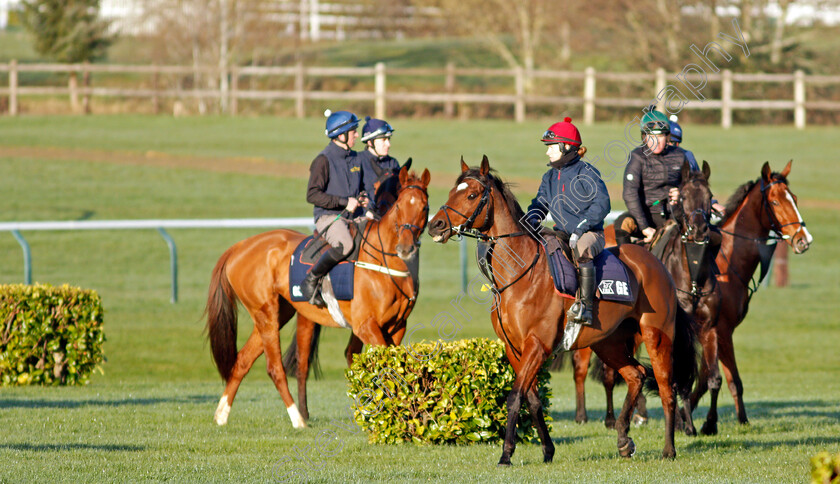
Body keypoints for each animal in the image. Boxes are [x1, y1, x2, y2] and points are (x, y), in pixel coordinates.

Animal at [202, 165, 426, 428]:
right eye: (399, 206)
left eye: (424, 207)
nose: (406, 247)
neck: (384, 261)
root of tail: (239, 246)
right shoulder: (365, 326)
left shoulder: (397, 326)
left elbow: (390, 366)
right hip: (266, 314)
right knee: (275, 368)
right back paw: (297, 418)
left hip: (277, 314)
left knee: (242, 361)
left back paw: (221, 414)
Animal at [426, 157, 696, 464]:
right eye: (451, 192)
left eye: (471, 195)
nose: (435, 225)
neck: (519, 274)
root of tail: (655, 262)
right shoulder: (514, 348)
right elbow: (532, 399)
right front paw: (547, 450)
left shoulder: (537, 345)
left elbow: (515, 396)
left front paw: (506, 453)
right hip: (608, 342)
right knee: (636, 375)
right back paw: (623, 440)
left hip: (656, 335)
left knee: (666, 388)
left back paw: (668, 449)